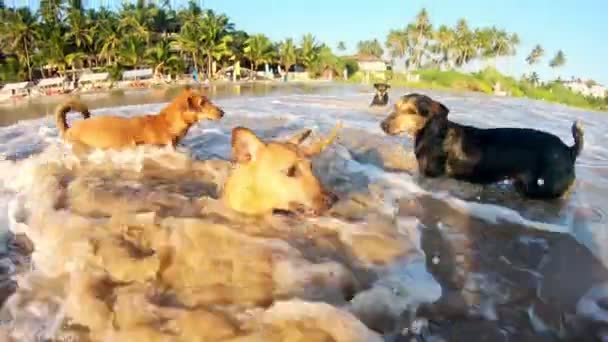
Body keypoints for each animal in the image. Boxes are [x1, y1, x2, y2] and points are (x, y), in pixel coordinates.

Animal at [380, 95, 584, 199]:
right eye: (395, 107)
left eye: (411, 111)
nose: (382, 125)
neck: (432, 132)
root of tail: (569, 149)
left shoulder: (431, 176)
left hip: (547, 188)